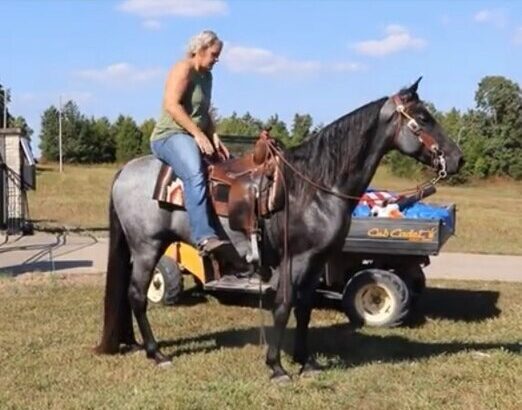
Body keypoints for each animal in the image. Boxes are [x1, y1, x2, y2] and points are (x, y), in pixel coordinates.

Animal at [95, 79, 462, 382]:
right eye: (423, 117)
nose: (457, 158)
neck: (315, 185)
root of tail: (126, 170)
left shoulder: (317, 260)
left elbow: (305, 308)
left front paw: (306, 361)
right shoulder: (294, 258)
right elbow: (284, 306)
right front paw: (276, 367)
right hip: (148, 246)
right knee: (137, 294)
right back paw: (156, 353)